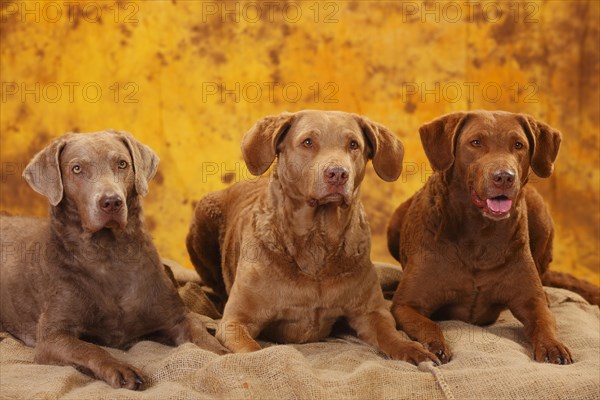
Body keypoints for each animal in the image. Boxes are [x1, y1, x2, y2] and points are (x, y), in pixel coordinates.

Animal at [0, 131, 225, 390]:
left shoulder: (176, 317)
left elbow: (202, 338)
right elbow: (90, 349)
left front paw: (223, 354)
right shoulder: (52, 336)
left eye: (122, 164)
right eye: (76, 168)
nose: (111, 202)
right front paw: (122, 369)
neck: (108, 254)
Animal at [188, 110, 440, 366]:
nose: (338, 173)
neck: (317, 241)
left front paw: (414, 349)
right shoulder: (236, 321)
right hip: (203, 219)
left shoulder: (372, 312)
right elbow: (253, 350)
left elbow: (389, 334)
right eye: (308, 142)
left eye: (353, 144)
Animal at [386, 110, 596, 366]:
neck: (479, 234)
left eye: (518, 145)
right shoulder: (406, 305)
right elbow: (429, 324)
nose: (504, 177)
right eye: (476, 142)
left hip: (540, 212)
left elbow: (544, 322)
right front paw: (434, 346)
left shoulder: (532, 302)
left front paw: (552, 346)